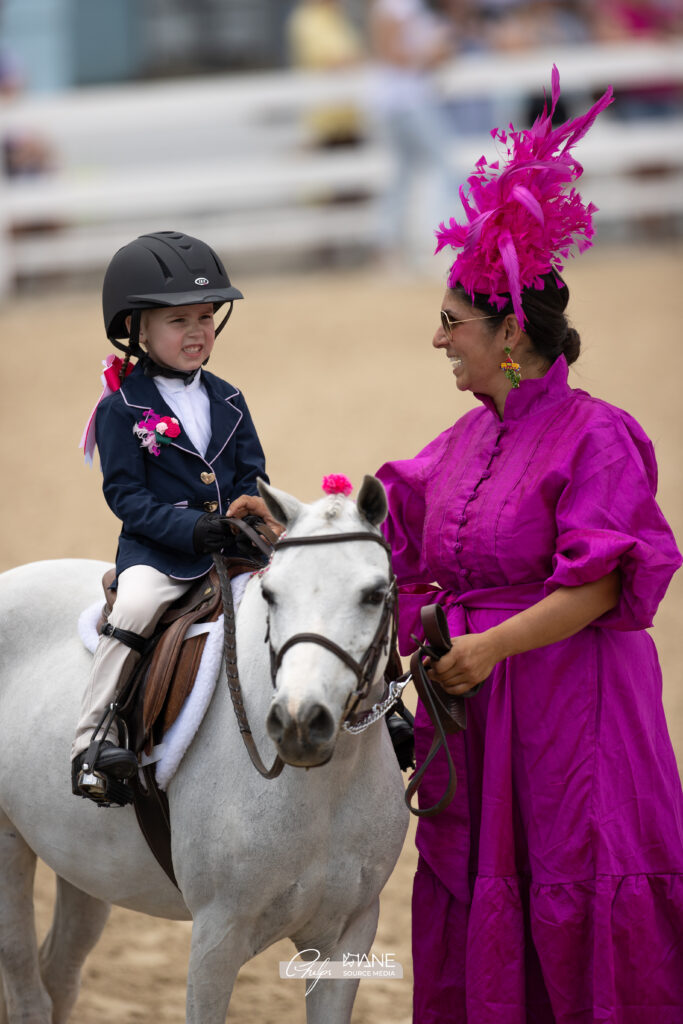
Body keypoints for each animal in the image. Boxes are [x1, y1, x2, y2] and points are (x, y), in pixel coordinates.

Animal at [0, 479, 405, 1024]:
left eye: (374, 594)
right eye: (272, 593)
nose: (299, 722)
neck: (325, 788)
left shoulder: (348, 937)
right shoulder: (217, 936)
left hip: (82, 864)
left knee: (58, 976)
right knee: (29, 994)